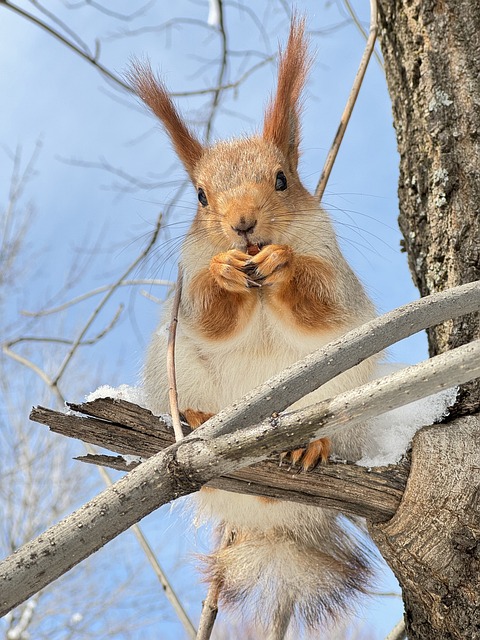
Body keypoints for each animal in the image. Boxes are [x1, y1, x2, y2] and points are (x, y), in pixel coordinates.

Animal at [131, 16, 378, 640]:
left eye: (283, 179)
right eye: (200, 196)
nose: (242, 225)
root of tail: (270, 514)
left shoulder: (334, 271)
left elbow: (322, 302)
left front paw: (283, 261)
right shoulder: (187, 286)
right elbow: (210, 313)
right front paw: (225, 272)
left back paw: (312, 444)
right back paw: (199, 419)